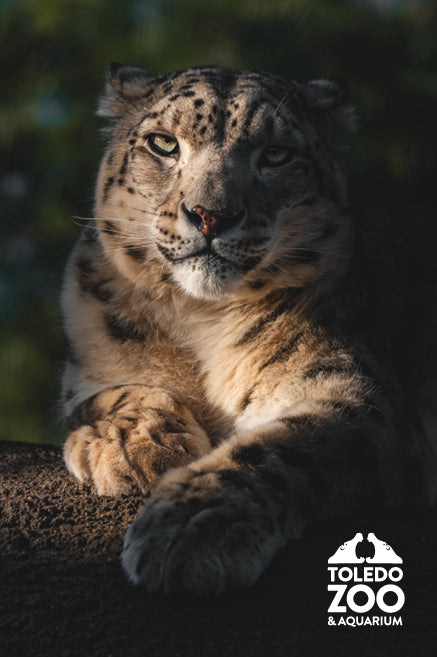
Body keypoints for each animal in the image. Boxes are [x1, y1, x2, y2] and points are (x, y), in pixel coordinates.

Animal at [61, 63, 437, 594]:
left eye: (276, 154)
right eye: (164, 143)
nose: (211, 216)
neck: (197, 319)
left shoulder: (355, 395)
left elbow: (286, 448)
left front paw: (190, 523)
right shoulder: (86, 362)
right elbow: (116, 391)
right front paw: (137, 447)